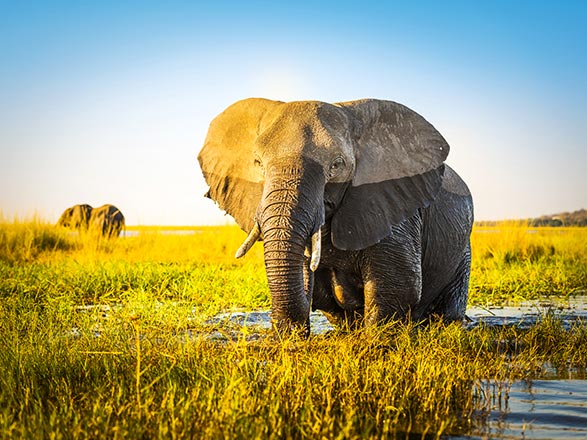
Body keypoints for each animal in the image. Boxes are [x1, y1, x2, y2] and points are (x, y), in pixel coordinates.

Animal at [200, 99, 476, 334]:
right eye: (258, 163)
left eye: (337, 165)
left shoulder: (392, 204)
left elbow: (399, 286)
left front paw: (373, 342)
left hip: (463, 251)